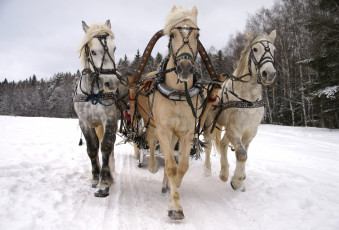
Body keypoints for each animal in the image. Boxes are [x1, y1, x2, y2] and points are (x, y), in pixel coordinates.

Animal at [74, 20, 127, 198]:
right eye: (93, 51)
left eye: (114, 48)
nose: (112, 83)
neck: (93, 93)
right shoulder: (84, 121)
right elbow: (92, 148)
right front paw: (95, 178)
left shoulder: (110, 119)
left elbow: (105, 147)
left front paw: (104, 183)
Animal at [135, 5, 201, 220]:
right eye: (172, 34)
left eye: (197, 35)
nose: (185, 68)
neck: (178, 93)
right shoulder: (163, 128)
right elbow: (171, 166)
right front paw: (175, 207)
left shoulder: (186, 132)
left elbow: (182, 166)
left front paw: (174, 186)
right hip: (151, 123)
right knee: (150, 144)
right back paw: (153, 167)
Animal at [203, 30, 278, 190]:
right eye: (255, 49)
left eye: (274, 50)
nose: (269, 73)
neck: (248, 98)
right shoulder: (234, 128)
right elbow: (242, 153)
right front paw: (237, 181)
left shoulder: (250, 130)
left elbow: (244, 152)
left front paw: (239, 177)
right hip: (208, 123)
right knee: (208, 144)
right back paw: (207, 170)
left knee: (223, 144)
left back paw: (224, 173)